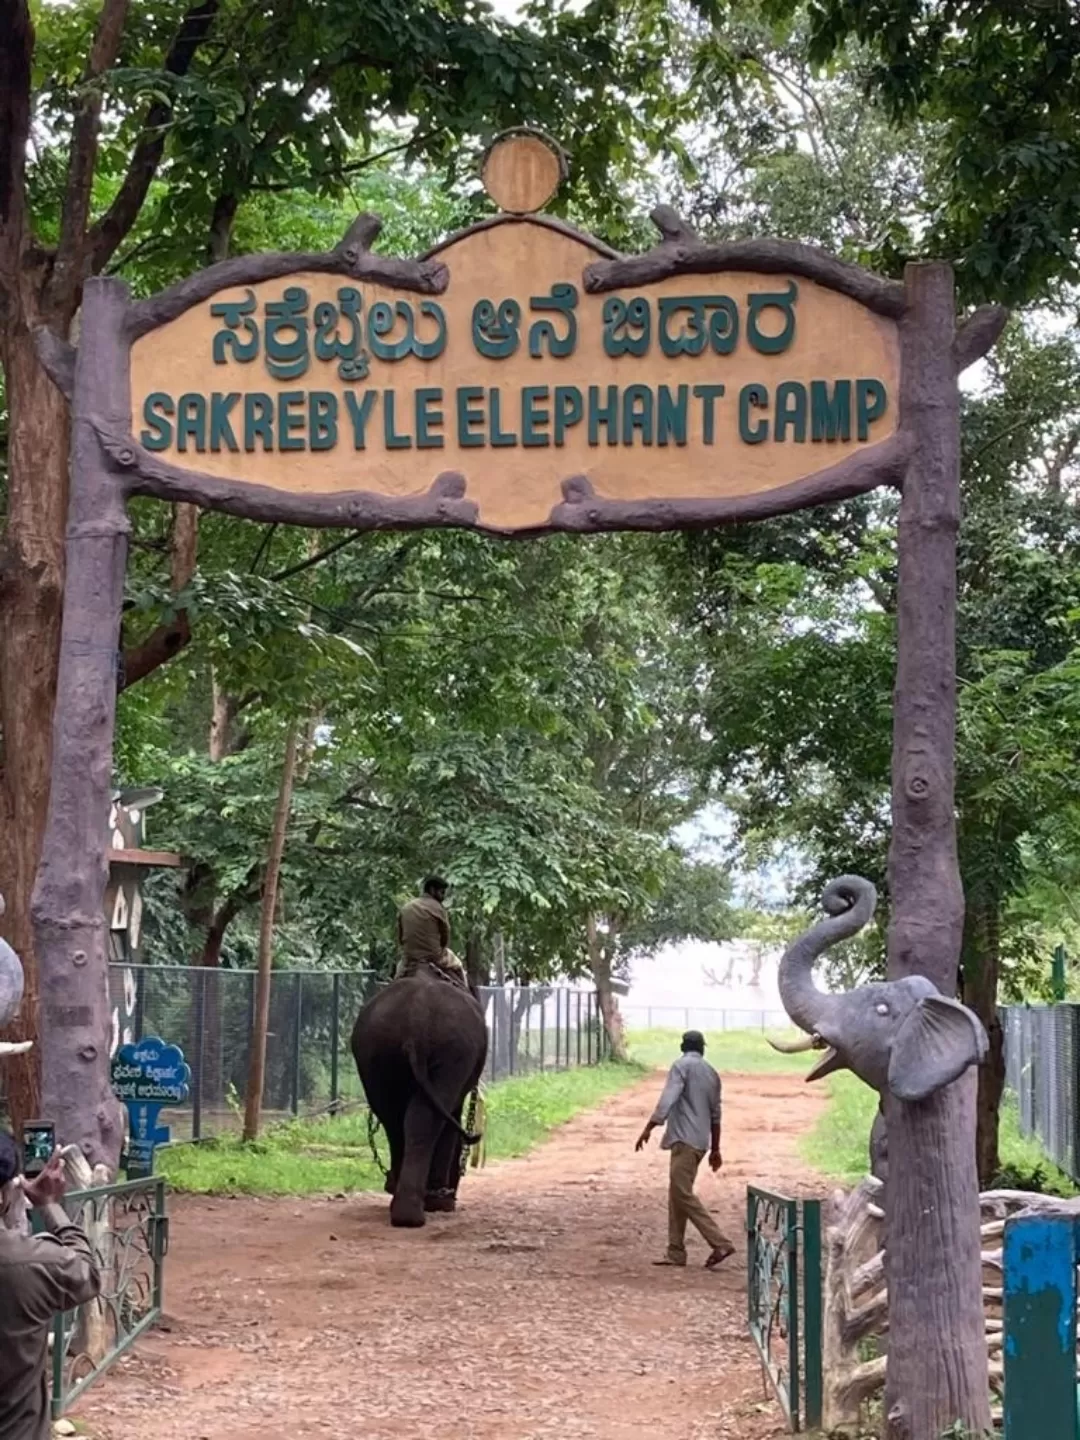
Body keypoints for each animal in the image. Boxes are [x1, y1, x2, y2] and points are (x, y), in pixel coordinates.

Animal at [352, 967, 489, 1226]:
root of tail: (417, 1020)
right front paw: (442, 1203)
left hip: (377, 1050)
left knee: (394, 1119)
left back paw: (402, 1205)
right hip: (454, 1050)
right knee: (428, 1118)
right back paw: (424, 1207)